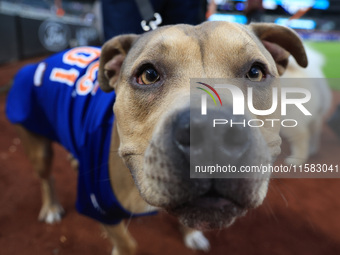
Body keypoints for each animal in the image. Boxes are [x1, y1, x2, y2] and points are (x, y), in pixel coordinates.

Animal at [7, 22, 306, 255]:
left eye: (255, 72)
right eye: (148, 75)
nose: (212, 133)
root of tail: (43, 60)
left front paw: (191, 235)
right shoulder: (101, 209)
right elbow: (127, 244)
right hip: (36, 144)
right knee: (45, 177)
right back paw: (51, 207)